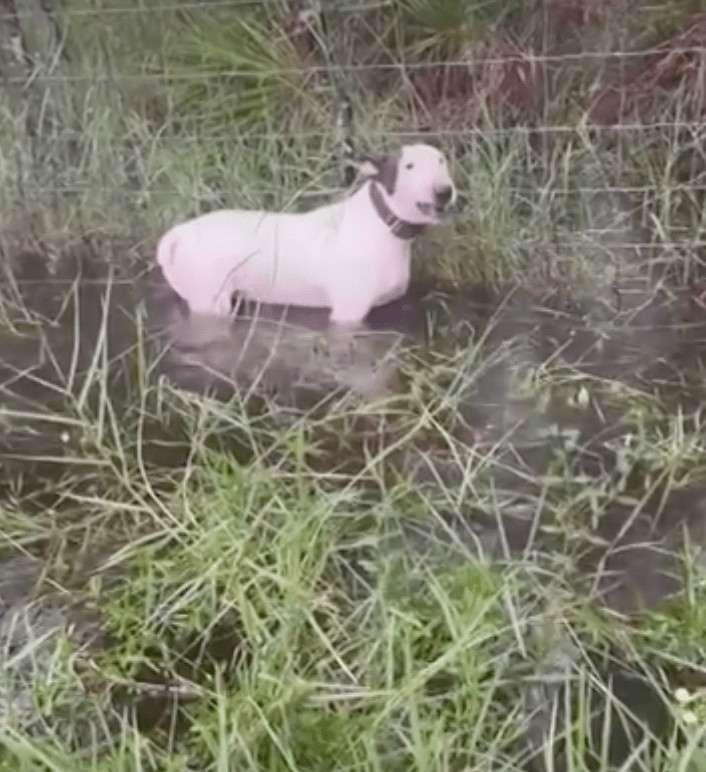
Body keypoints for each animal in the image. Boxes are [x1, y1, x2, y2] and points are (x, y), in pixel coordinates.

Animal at [156, 143, 454, 324]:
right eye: (409, 166)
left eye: (442, 161)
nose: (445, 191)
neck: (382, 224)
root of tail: (179, 233)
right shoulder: (348, 313)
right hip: (210, 301)